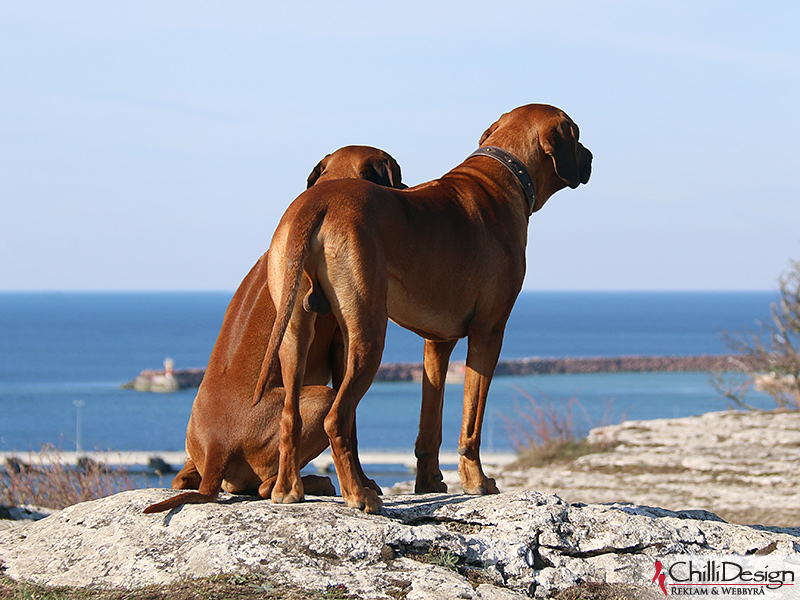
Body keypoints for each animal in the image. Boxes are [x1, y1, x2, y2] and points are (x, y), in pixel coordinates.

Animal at [142, 146, 406, 516]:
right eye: (398, 174)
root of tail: (217, 447)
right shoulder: (342, 348)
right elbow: (350, 425)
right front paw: (364, 483)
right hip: (320, 397)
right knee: (265, 485)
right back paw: (314, 482)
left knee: (183, 479)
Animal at [258, 102, 592, 510]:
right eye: (577, 135)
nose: (591, 157)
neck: (504, 174)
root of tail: (316, 203)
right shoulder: (488, 334)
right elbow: (471, 423)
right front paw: (477, 481)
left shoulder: (437, 342)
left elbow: (430, 424)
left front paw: (429, 482)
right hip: (368, 336)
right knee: (337, 418)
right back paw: (358, 494)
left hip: (294, 333)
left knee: (291, 415)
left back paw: (288, 490)